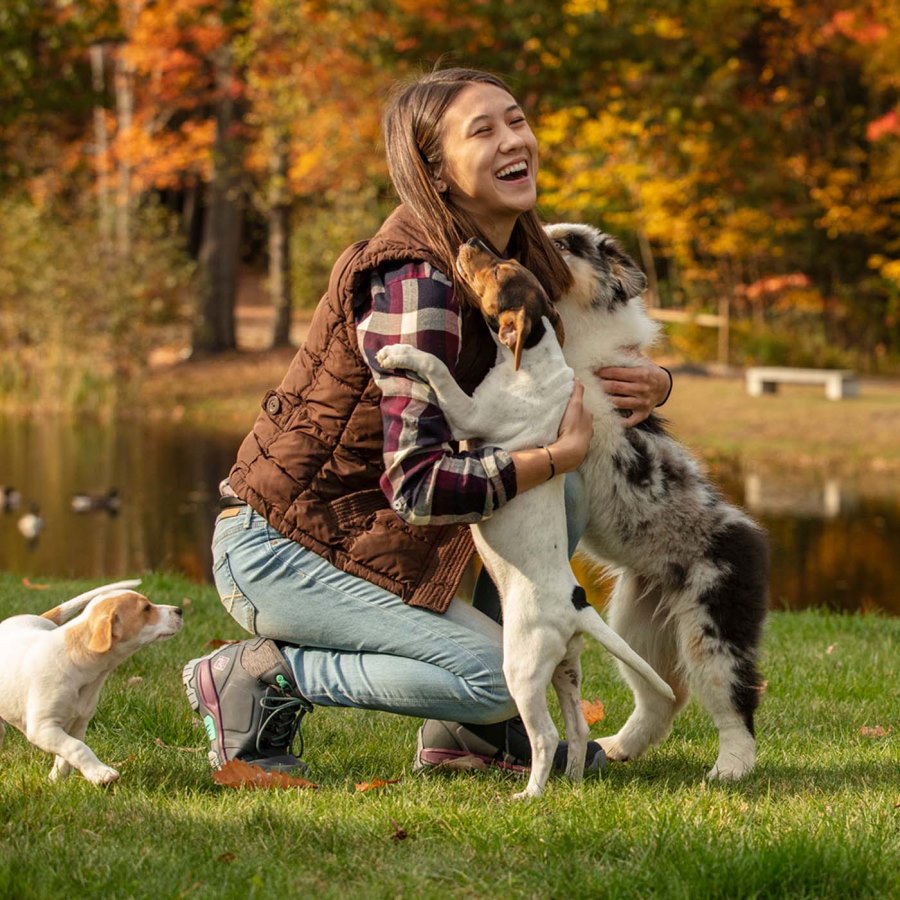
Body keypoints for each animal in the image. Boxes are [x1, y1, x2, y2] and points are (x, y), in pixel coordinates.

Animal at [0, 580, 183, 784]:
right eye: (146, 608)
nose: (179, 610)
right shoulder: (42, 727)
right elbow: (77, 748)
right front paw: (101, 774)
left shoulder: (78, 724)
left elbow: (67, 754)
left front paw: (56, 780)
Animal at [374, 237, 676, 796]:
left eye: (500, 271)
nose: (472, 242)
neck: (536, 353)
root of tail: (577, 605)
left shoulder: (466, 413)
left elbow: (439, 371)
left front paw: (399, 353)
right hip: (566, 668)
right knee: (577, 728)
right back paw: (572, 781)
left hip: (523, 666)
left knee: (546, 734)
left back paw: (530, 793)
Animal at [544, 221, 768, 776]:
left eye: (565, 244)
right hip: (637, 621)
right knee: (663, 697)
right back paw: (619, 747)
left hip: (714, 627)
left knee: (735, 704)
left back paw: (731, 769)